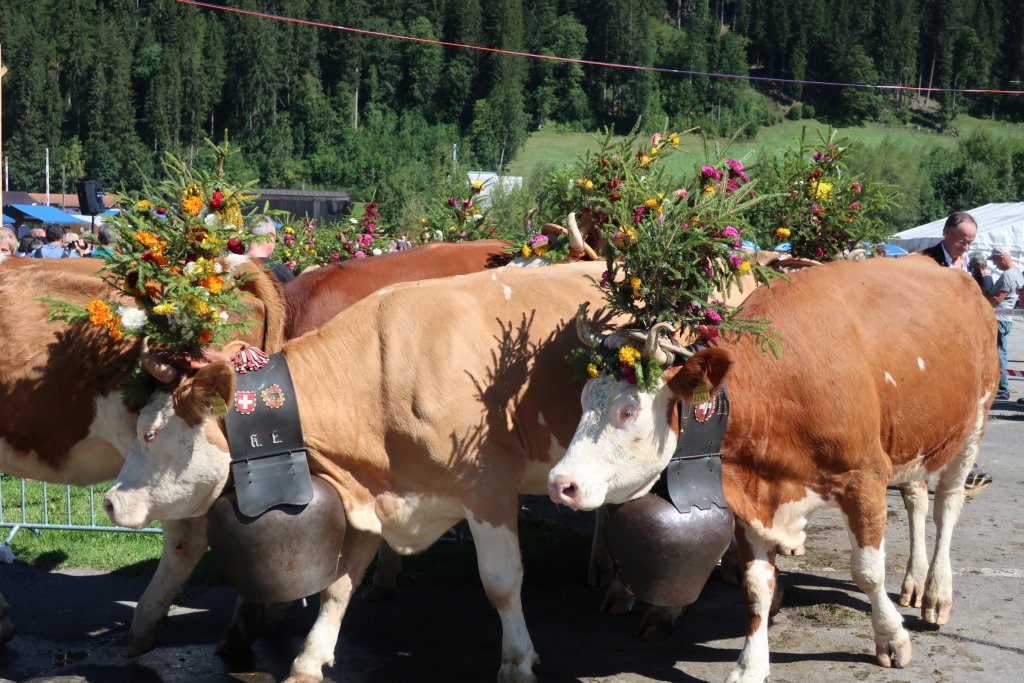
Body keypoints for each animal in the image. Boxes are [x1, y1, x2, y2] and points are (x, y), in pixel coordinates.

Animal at [101, 262, 630, 683]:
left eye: (150, 432)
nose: (110, 500)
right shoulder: (371, 493)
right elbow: (338, 584)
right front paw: (308, 661)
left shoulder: (488, 486)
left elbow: (501, 582)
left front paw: (518, 662)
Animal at [548, 255, 995, 683]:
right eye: (584, 399)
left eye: (630, 410)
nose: (560, 484)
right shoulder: (753, 495)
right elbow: (756, 586)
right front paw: (750, 665)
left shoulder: (864, 477)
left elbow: (867, 571)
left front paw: (891, 638)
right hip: (912, 441)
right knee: (916, 498)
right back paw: (914, 582)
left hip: (973, 423)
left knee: (947, 506)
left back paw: (936, 594)